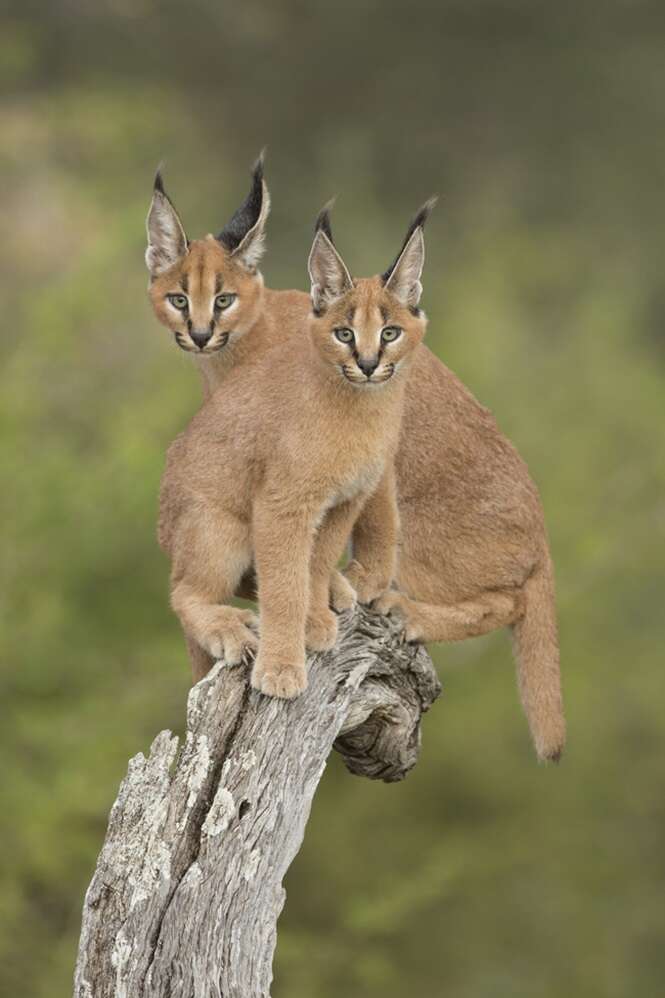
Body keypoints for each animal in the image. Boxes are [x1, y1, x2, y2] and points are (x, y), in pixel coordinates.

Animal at [156, 208, 426, 700]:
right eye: (344, 333)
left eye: (391, 332)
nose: (368, 363)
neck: (361, 408)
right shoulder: (282, 505)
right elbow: (285, 584)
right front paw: (280, 668)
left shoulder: (342, 502)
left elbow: (314, 564)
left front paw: (314, 619)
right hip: (217, 526)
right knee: (183, 591)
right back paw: (229, 628)